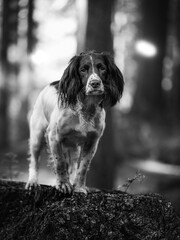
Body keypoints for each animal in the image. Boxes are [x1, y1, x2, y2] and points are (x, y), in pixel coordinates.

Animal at [25, 50, 124, 193]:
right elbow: (59, 162)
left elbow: (82, 167)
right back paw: (32, 182)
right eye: (83, 69)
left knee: (72, 164)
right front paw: (63, 184)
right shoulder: (54, 137)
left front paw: (78, 187)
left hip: (72, 147)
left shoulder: (92, 141)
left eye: (102, 68)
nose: (95, 83)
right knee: (34, 160)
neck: (86, 109)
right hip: (37, 136)